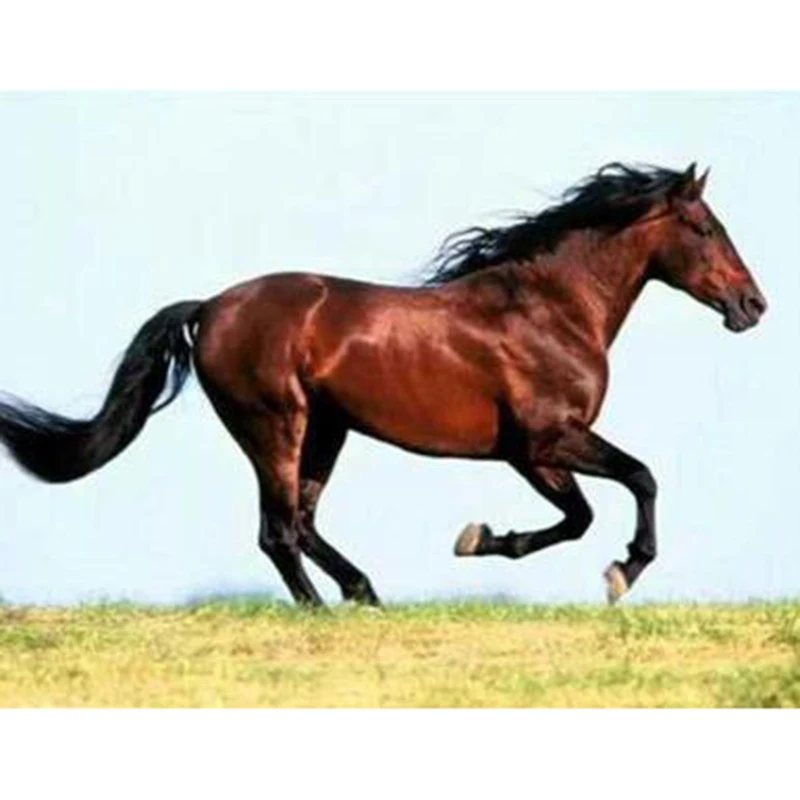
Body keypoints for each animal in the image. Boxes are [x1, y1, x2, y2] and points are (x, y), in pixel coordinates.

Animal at [0, 163, 767, 606]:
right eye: (704, 227)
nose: (753, 305)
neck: (549, 308)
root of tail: (210, 306)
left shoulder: (531, 454)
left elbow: (580, 515)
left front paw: (481, 539)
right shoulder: (548, 439)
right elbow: (637, 480)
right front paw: (620, 572)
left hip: (326, 430)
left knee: (303, 522)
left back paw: (363, 593)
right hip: (275, 425)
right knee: (278, 530)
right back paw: (326, 608)